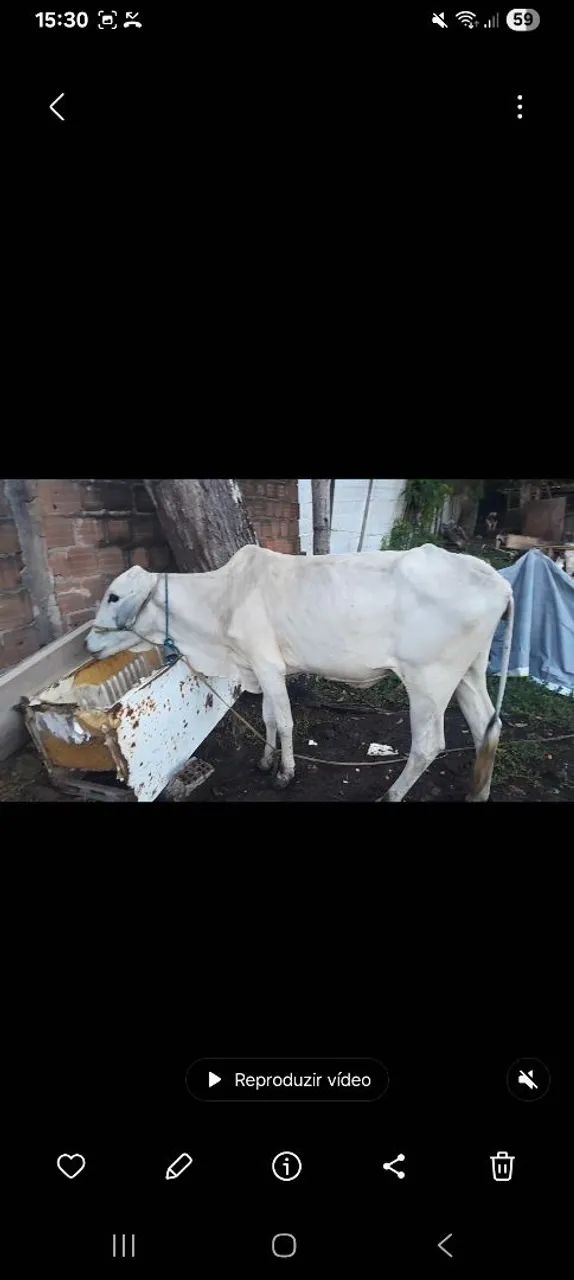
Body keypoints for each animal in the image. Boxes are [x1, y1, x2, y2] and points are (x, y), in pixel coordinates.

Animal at [85, 543, 514, 802]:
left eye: (114, 597)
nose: (88, 643)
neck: (221, 601)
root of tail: (498, 581)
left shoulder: (267, 665)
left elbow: (287, 721)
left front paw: (284, 773)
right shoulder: (261, 668)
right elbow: (269, 717)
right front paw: (265, 760)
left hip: (429, 680)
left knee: (429, 745)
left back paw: (391, 795)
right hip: (468, 673)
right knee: (487, 726)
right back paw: (478, 792)